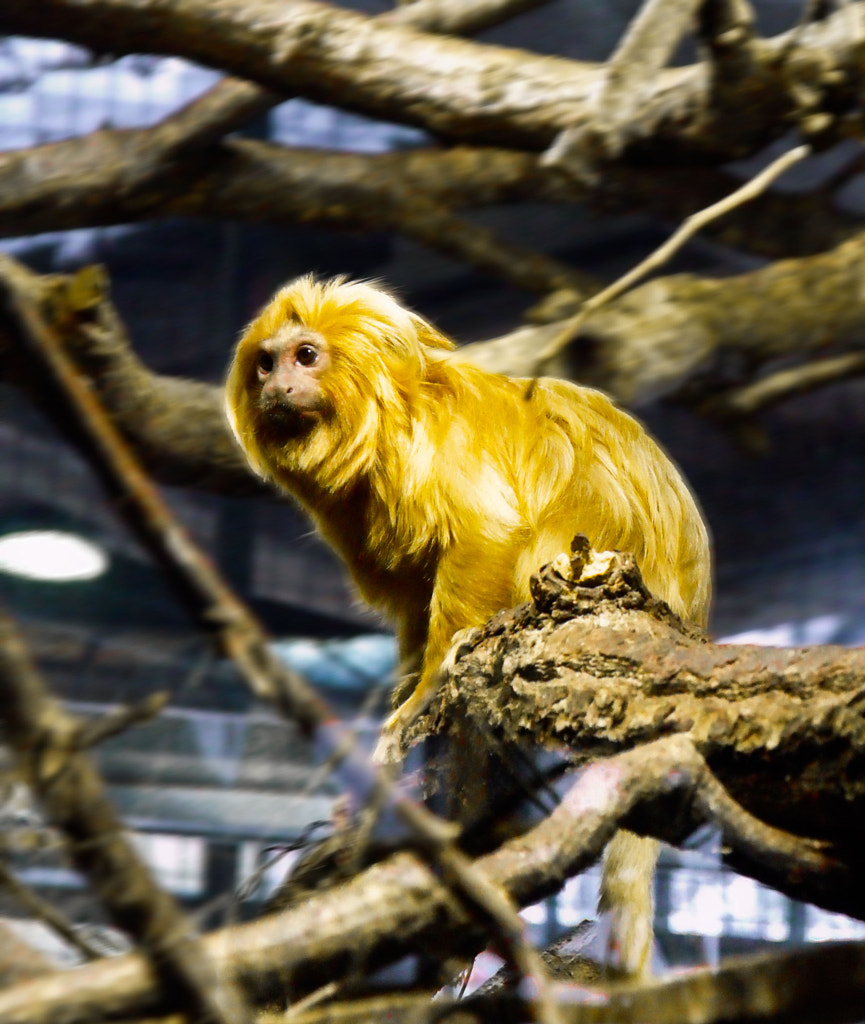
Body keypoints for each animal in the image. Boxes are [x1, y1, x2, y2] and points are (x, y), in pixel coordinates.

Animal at [226, 274, 712, 974]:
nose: (275, 386)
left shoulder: (443, 454)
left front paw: (423, 697)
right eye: (266, 362)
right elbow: (414, 601)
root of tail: (686, 614)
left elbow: (488, 534)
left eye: (306, 356)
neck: (385, 422)